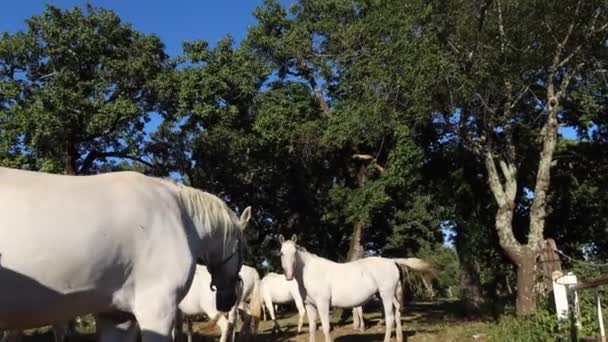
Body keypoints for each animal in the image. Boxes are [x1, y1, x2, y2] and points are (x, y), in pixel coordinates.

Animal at [280, 234, 436, 342]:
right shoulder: (310, 305)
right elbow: (312, 328)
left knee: (390, 318)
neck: (311, 272)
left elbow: (325, 327)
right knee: (397, 312)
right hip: (387, 295)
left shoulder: (322, 304)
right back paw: (399, 338)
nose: (288, 276)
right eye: (281, 253)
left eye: (294, 253)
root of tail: (392, 261)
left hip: (386, 295)